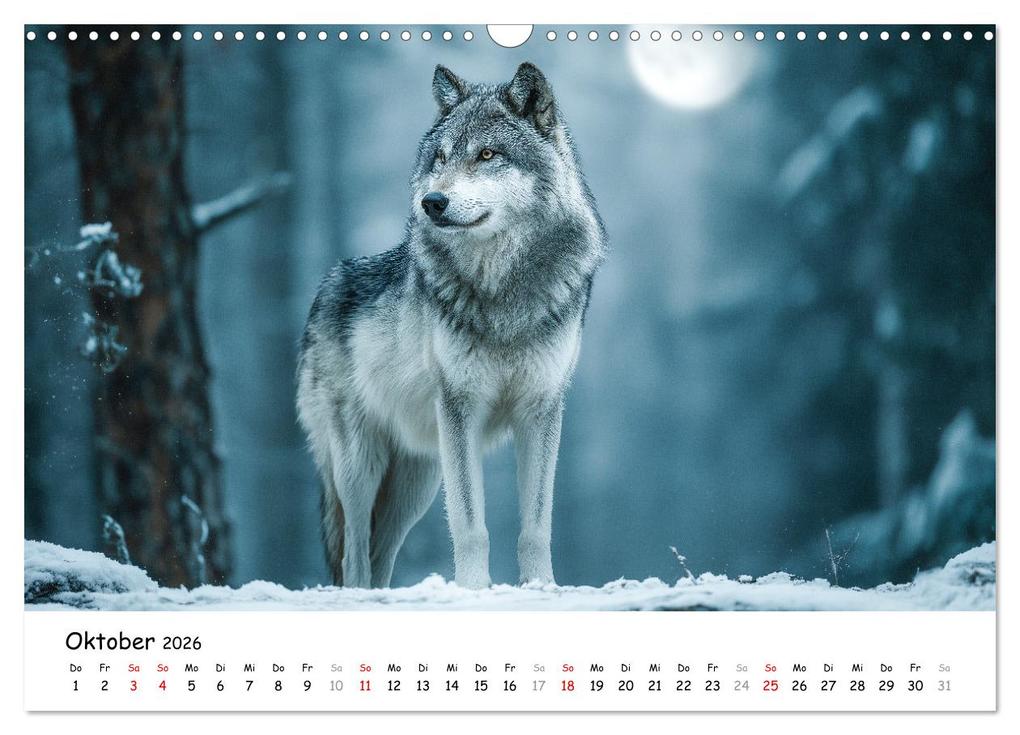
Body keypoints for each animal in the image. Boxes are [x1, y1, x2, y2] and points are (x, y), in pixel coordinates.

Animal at [297, 62, 606, 589]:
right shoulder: (462, 407)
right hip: (360, 466)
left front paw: (541, 587)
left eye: (486, 155)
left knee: (378, 556)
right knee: (353, 555)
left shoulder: (541, 410)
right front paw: (474, 590)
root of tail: (326, 285)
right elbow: (470, 526)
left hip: (416, 482)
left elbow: (535, 528)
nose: (432, 202)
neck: (504, 289)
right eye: (440, 158)